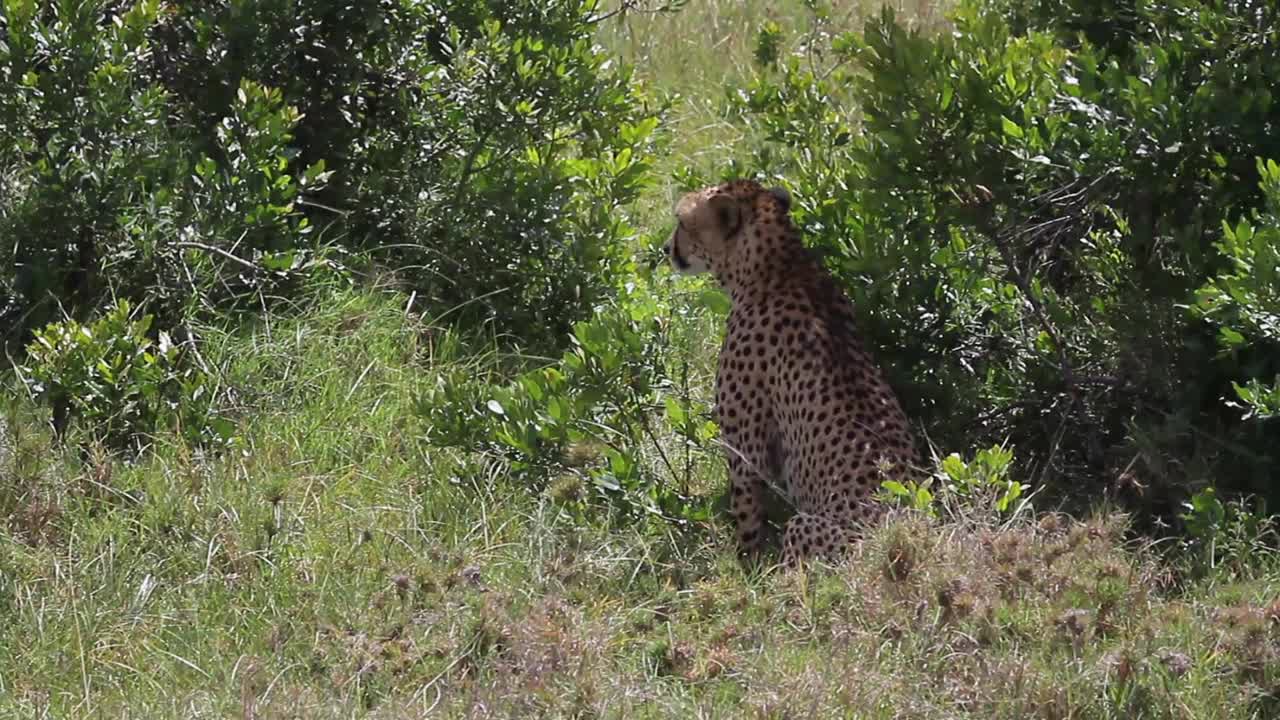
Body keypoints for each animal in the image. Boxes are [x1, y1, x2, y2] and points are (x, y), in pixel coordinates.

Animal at [660, 179, 921, 566]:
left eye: (682, 222)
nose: (666, 249)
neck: (782, 265)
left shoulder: (745, 445)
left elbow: (747, 510)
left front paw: (746, 567)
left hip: (807, 527)